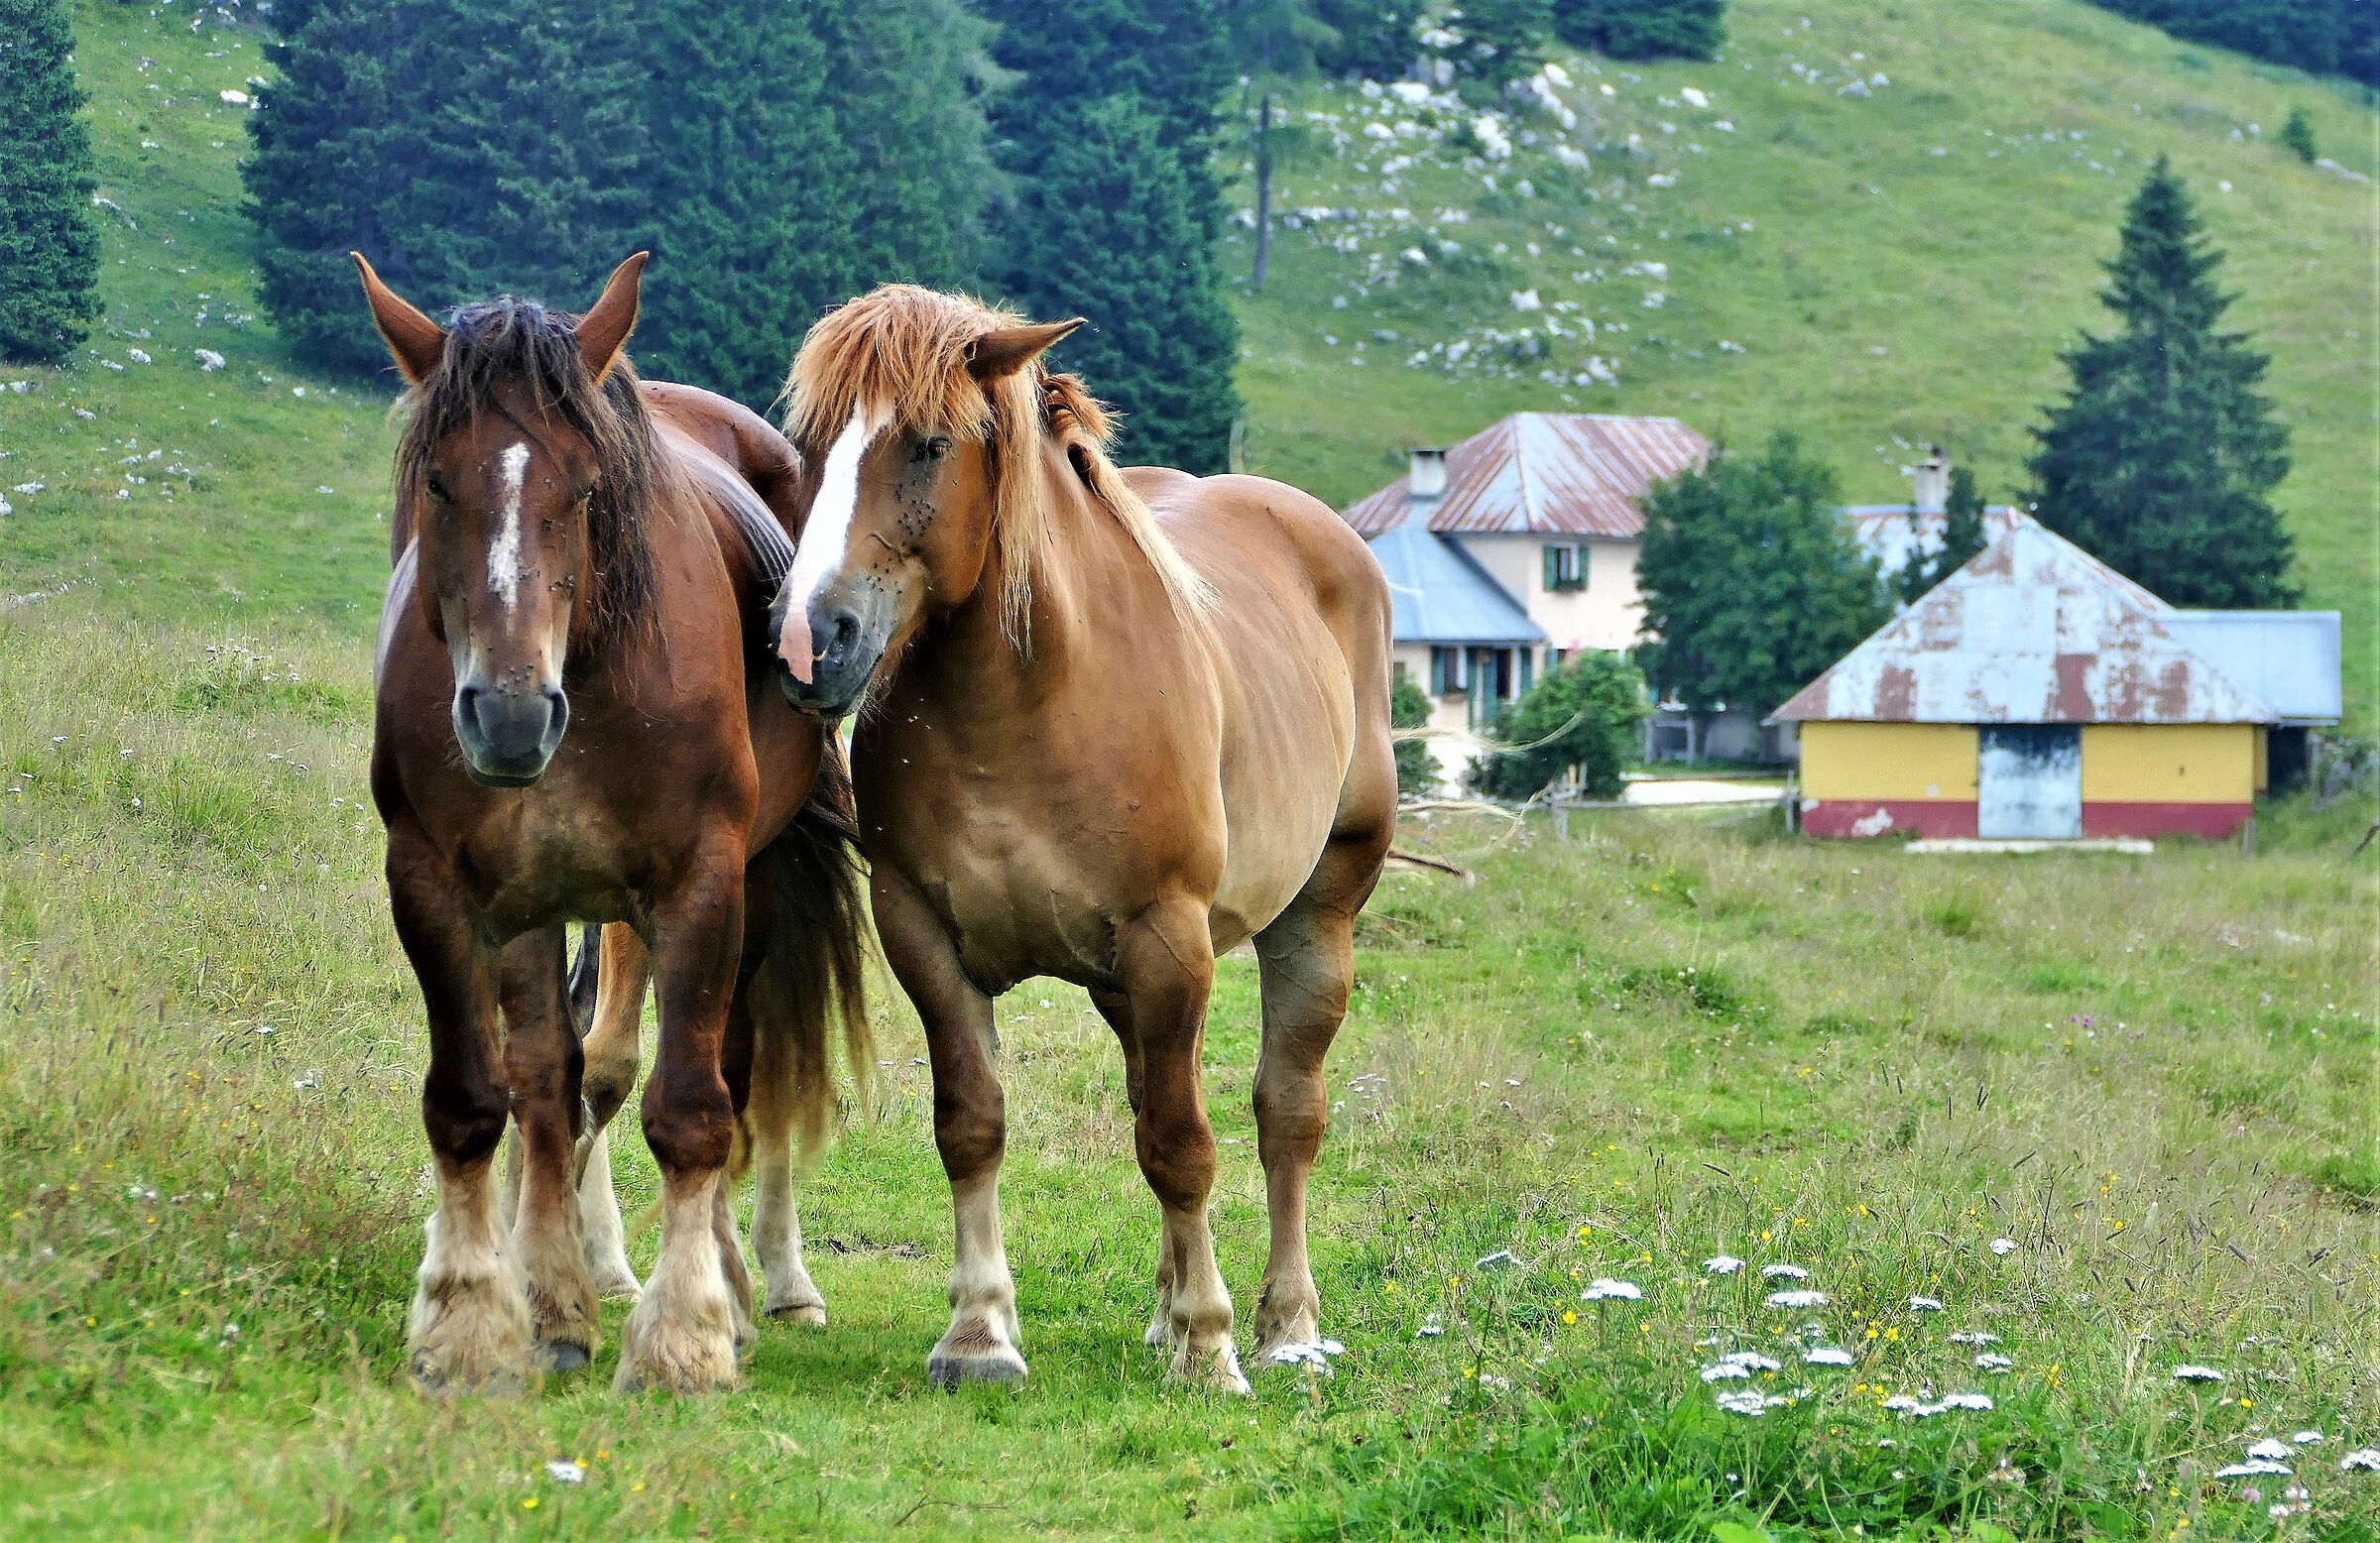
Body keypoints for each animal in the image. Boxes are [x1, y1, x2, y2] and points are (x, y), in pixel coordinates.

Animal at [355, 250, 868, 1395]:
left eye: (587, 488)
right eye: (437, 483)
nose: (507, 714)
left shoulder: (699, 882)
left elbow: (690, 1107)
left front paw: (686, 1339)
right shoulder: (445, 886)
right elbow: (486, 1095)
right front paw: (483, 1322)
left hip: (745, 885)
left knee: (732, 1068)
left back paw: (750, 1285)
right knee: (561, 1077)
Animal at [767, 285, 1395, 1391]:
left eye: (929, 443)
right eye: (808, 442)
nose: (810, 640)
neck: (1027, 702)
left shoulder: (1169, 942)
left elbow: (1185, 1145)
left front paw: (1208, 1345)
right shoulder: (925, 937)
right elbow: (974, 1126)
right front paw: (979, 1334)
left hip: (1316, 919)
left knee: (1286, 1114)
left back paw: (1286, 1326)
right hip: (1121, 983)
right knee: (1155, 1095)